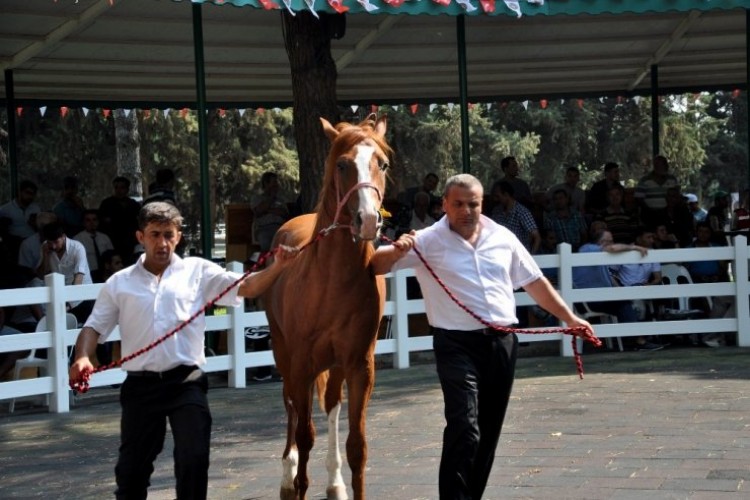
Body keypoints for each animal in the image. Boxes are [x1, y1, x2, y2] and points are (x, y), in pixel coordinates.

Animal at [264, 115, 394, 498]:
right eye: (342, 165)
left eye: (382, 164)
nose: (368, 219)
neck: (333, 279)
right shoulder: (302, 364)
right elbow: (306, 434)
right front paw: (298, 484)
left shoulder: (359, 365)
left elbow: (357, 447)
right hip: (284, 355)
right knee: (292, 407)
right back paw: (287, 474)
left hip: (334, 366)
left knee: (332, 405)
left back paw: (334, 482)